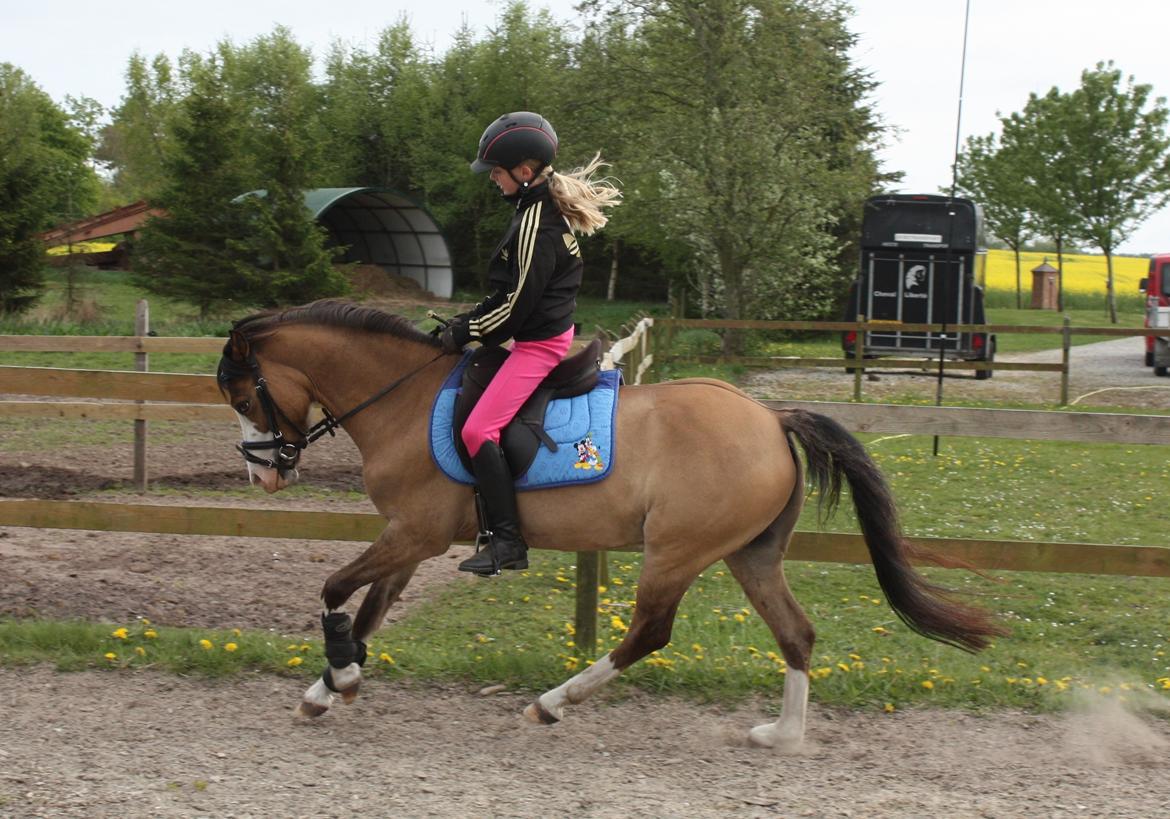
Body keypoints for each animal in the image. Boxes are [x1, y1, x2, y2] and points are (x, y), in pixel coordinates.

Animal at [216, 299, 1003, 750]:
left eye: (243, 394)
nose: (263, 475)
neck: (403, 399)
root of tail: (771, 418)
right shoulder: (410, 541)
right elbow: (370, 610)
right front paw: (328, 688)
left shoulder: (415, 534)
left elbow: (333, 590)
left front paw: (340, 677)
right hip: (749, 554)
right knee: (796, 633)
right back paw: (782, 735)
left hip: (676, 551)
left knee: (650, 633)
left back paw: (551, 704)